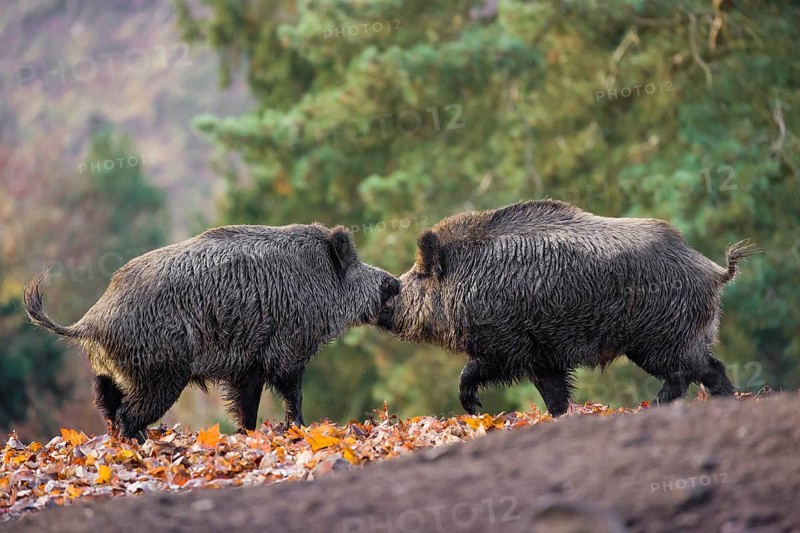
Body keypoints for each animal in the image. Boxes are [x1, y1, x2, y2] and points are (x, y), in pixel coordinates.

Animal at [24, 224, 400, 441]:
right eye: (355, 264)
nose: (394, 282)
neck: (319, 280)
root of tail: (91, 320)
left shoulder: (248, 367)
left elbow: (247, 405)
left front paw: (247, 435)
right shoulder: (288, 349)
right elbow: (292, 394)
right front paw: (300, 429)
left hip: (109, 375)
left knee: (109, 410)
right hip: (160, 373)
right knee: (128, 415)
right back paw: (142, 445)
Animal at [378, 199, 757, 416]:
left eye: (420, 274)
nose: (385, 295)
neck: (466, 280)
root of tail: (714, 271)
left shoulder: (506, 346)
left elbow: (473, 372)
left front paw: (472, 407)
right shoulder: (542, 356)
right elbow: (554, 393)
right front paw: (560, 416)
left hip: (659, 341)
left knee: (688, 372)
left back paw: (653, 406)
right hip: (681, 337)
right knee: (711, 368)